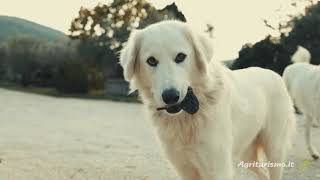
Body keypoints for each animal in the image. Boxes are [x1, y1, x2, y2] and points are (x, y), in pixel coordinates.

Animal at [120, 21, 296, 180]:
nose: (170, 96)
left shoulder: (217, 169)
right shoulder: (185, 169)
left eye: (180, 57)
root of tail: (274, 74)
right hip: (247, 152)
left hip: (274, 149)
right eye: (151, 61)